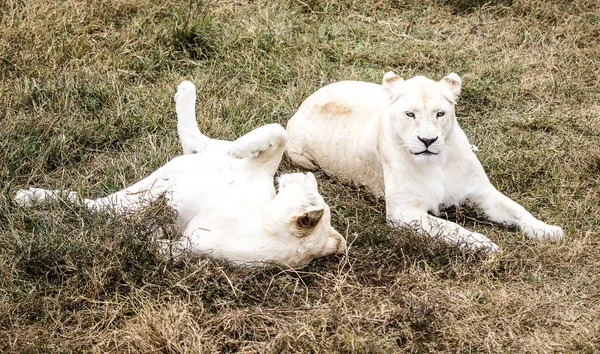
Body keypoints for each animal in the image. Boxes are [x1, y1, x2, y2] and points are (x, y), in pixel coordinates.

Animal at [15, 81, 346, 268]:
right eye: (313, 187)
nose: (305, 175)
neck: (262, 217)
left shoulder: (198, 245)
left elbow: (164, 250)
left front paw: (154, 237)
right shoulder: (258, 169)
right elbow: (277, 133)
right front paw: (243, 147)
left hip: (121, 204)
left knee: (78, 202)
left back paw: (30, 197)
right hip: (199, 158)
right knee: (197, 139)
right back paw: (190, 96)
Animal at [288, 71, 564, 252]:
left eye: (440, 113)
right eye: (410, 114)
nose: (428, 140)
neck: (438, 162)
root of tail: (306, 101)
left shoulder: (482, 193)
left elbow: (518, 210)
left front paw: (548, 230)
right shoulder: (403, 212)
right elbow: (449, 228)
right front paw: (484, 244)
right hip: (301, 158)